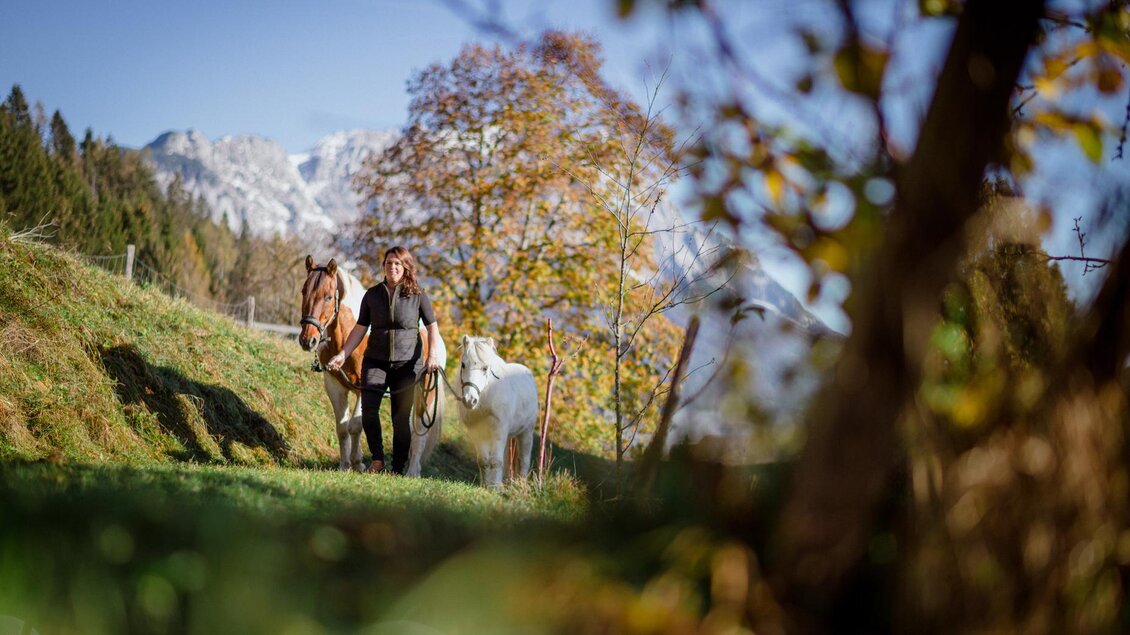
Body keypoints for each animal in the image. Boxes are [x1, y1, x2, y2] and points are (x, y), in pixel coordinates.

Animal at [456, 335, 538, 488]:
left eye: (485, 368)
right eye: (463, 365)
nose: (470, 400)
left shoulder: (499, 430)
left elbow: (495, 461)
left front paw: (495, 488)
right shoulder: (477, 432)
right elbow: (484, 461)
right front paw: (486, 485)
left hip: (526, 432)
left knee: (523, 460)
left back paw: (521, 485)